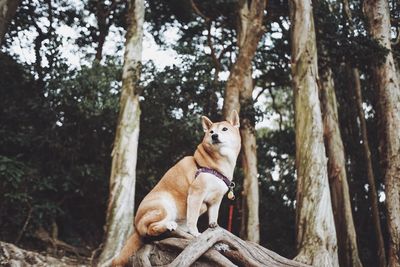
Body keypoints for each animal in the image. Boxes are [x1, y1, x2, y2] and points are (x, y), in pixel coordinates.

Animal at [111, 110, 239, 266]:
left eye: (224, 129)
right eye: (211, 132)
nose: (214, 136)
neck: (215, 165)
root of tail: (135, 226)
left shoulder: (216, 201)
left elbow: (213, 220)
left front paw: (214, 233)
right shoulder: (196, 194)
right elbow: (193, 220)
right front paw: (196, 233)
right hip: (164, 205)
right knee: (150, 228)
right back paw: (168, 225)